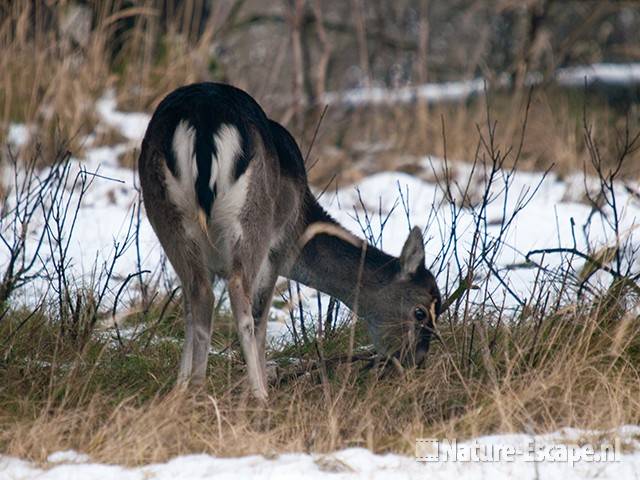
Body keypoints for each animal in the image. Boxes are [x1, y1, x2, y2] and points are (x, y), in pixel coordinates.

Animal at [139, 83, 440, 402]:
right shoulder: (277, 251)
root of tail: (204, 118)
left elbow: (187, 310)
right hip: (253, 225)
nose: (416, 359)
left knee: (199, 294)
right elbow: (260, 320)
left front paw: (178, 388)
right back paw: (254, 395)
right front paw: (259, 387)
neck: (302, 226)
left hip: (166, 219)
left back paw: (191, 389)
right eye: (420, 312)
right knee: (239, 300)